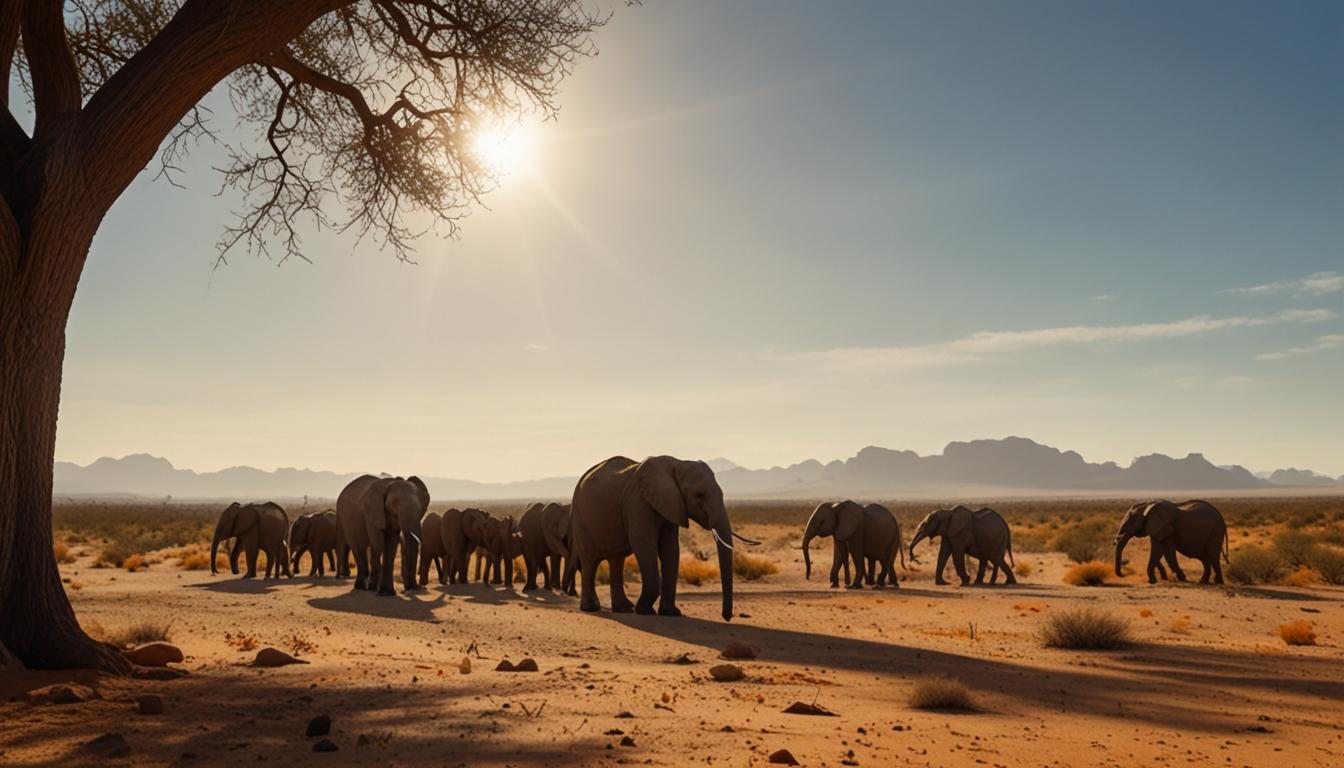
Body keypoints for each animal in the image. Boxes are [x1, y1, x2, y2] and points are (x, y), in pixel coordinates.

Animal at [566, 455, 755, 621]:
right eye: (699, 495)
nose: (726, 617)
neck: (676, 464)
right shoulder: (639, 503)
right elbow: (644, 545)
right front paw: (644, 611)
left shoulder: (672, 506)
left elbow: (670, 549)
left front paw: (671, 613)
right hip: (579, 518)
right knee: (590, 562)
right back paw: (591, 608)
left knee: (616, 561)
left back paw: (623, 609)